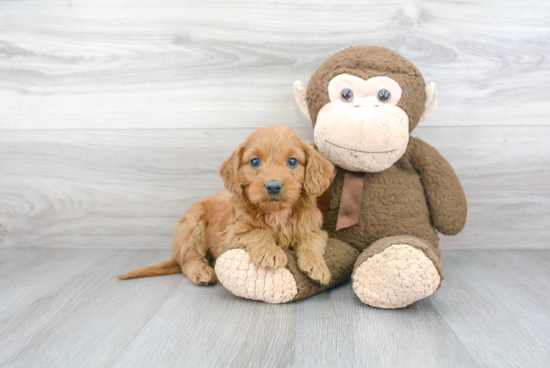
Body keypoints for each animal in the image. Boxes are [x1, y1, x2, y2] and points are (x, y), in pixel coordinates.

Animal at [119, 126, 336, 284]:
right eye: (255, 162)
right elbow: (259, 232)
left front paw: (317, 266)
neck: (277, 214)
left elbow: (310, 243)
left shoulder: (315, 230)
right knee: (188, 260)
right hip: (192, 223)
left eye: (292, 161)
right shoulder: (230, 234)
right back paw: (202, 272)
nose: (273, 186)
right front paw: (270, 252)